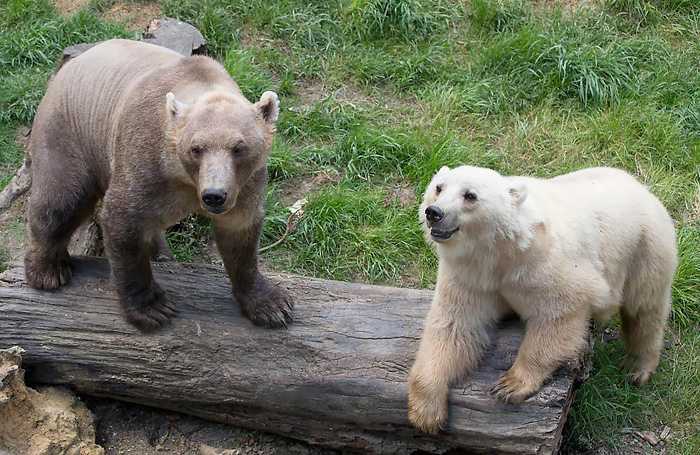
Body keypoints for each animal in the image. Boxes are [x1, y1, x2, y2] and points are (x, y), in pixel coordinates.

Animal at [24, 40, 292, 332]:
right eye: (196, 148)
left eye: (239, 147)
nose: (214, 196)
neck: (183, 177)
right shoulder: (145, 160)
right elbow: (124, 222)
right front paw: (153, 308)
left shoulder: (245, 183)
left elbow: (240, 234)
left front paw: (272, 305)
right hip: (70, 132)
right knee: (61, 199)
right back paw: (47, 270)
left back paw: (161, 253)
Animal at [408, 167, 676, 434]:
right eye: (439, 187)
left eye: (470, 195)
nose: (434, 212)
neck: (500, 251)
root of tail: (639, 185)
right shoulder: (470, 277)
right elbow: (454, 327)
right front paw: (426, 413)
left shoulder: (543, 265)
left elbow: (559, 314)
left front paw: (511, 384)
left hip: (644, 247)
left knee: (645, 308)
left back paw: (637, 367)